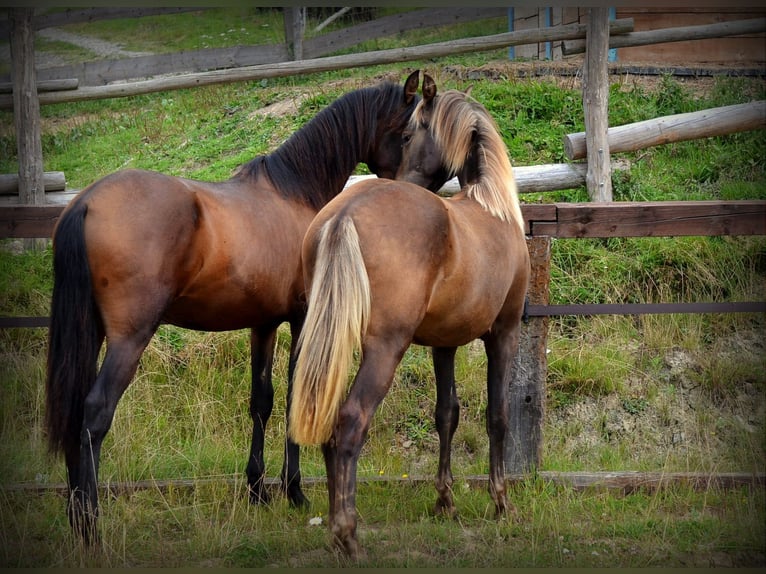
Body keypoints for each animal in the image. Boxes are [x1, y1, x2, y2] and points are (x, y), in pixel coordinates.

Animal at [45, 71, 422, 542]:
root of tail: (86, 201)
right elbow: (294, 395)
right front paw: (294, 492)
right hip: (128, 339)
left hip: (91, 330)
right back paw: (89, 523)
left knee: (75, 411)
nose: (413, 192)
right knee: (95, 413)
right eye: (407, 133)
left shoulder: (263, 323)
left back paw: (75, 512)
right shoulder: (301, 320)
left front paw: (258, 490)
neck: (294, 193)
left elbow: (261, 400)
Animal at [288, 75, 530, 559]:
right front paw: (501, 502)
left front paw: (445, 502)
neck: (491, 208)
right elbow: (498, 415)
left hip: (329, 344)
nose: (400, 177)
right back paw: (348, 535)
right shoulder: (504, 334)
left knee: (329, 427)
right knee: (349, 425)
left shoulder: (444, 343)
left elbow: (447, 414)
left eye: (408, 134)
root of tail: (345, 214)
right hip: (384, 351)